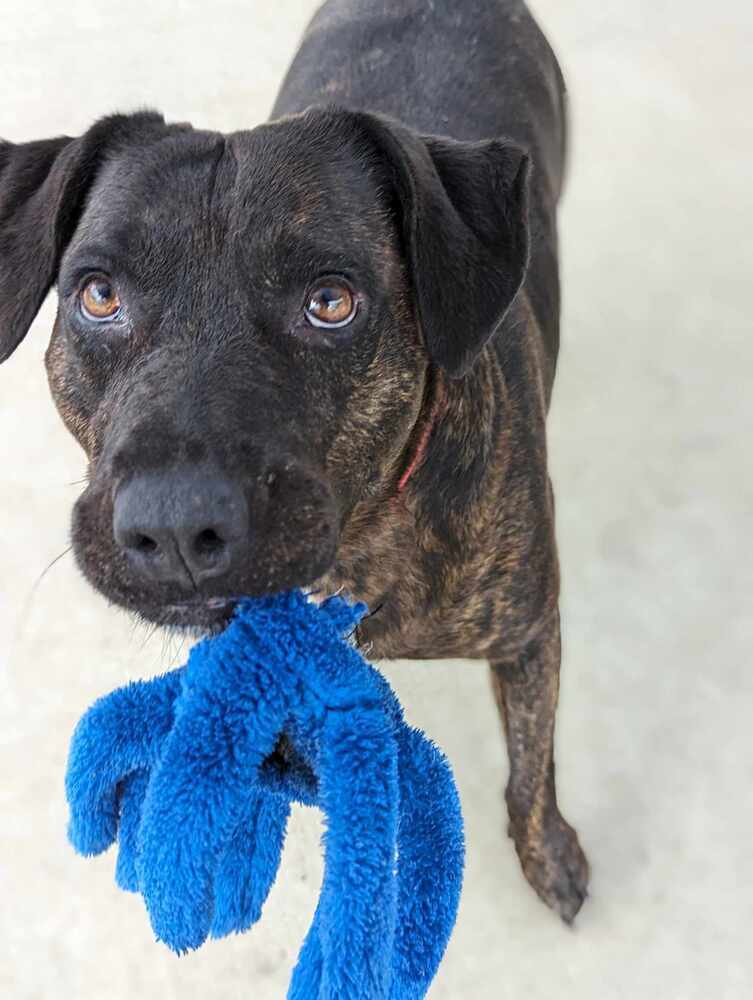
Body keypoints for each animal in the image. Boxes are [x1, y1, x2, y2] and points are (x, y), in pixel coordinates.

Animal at [0, 0, 588, 920]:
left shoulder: (529, 633)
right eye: (98, 294)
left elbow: (531, 765)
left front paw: (546, 853)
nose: (174, 528)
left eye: (330, 302)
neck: (364, 533)